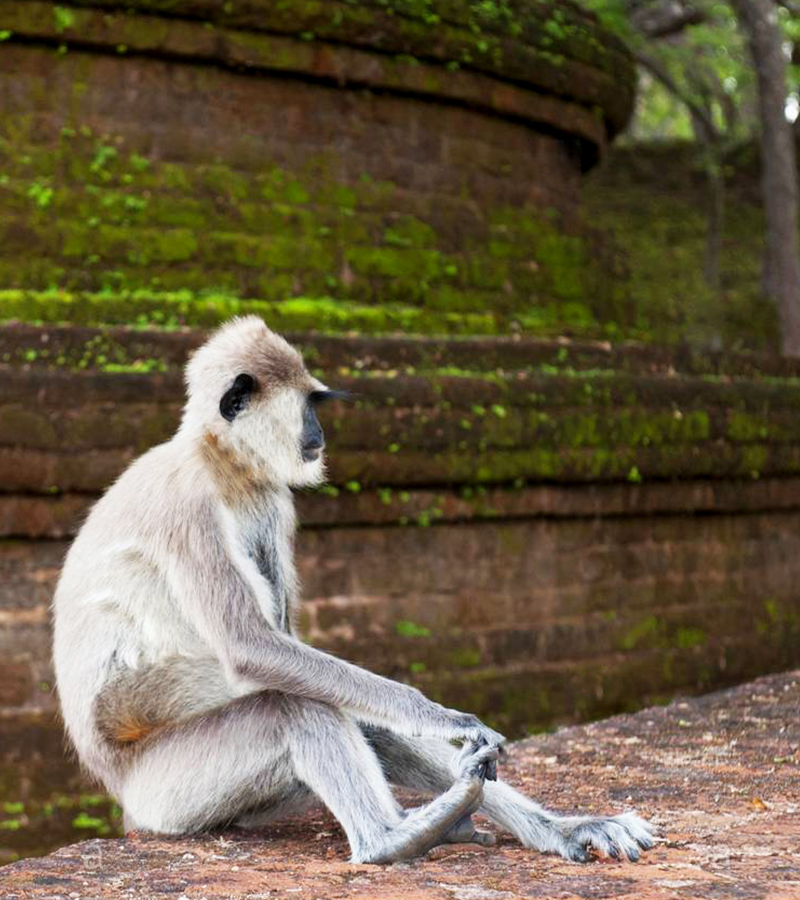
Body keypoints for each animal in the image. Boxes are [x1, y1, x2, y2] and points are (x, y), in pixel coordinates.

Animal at [52, 316, 653, 864]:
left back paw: (548, 828)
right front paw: (442, 716)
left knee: (338, 705)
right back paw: (390, 840)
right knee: (290, 704)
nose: (319, 434)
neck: (223, 463)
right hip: (168, 794)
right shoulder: (190, 504)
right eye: (309, 406)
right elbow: (252, 648)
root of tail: (128, 804)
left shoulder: (270, 498)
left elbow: (291, 650)